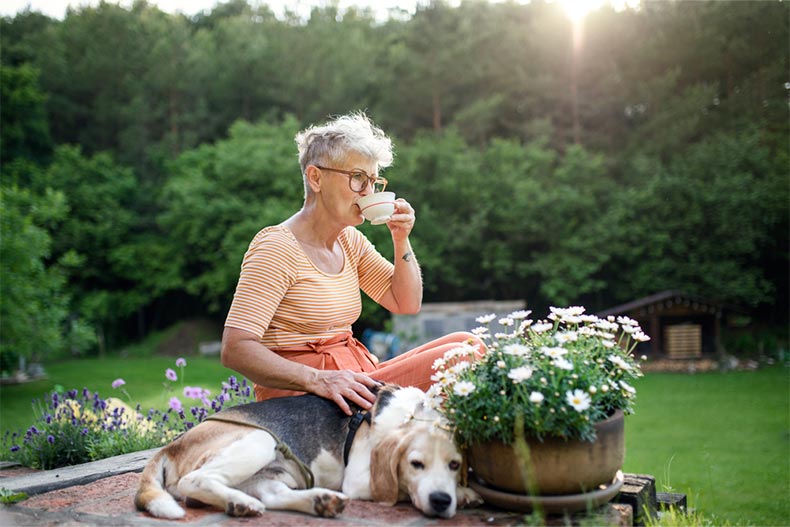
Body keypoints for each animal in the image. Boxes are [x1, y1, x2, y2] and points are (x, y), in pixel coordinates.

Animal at [135, 384, 482, 520]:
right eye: (415, 464)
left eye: (454, 465)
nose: (442, 501)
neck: (413, 415)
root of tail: (172, 445)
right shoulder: (359, 480)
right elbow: (397, 488)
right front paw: (464, 493)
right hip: (260, 440)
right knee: (193, 481)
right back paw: (242, 503)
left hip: (278, 471)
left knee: (272, 495)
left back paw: (318, 501)